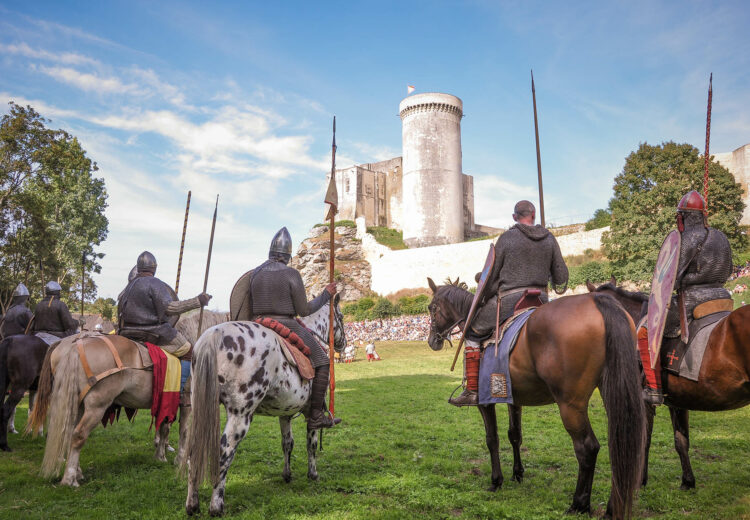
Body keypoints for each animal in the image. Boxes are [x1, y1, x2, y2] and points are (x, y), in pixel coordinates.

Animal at [25, 306, 229, 486]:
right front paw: (181, 460)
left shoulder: (167, 402)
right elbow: (184, 432)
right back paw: (69, 479)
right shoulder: (187, 403)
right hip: (96, 406)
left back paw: (77, 472)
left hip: (76, 403)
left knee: (67, 433)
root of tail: (75, 345)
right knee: (78, 435)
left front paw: (160, 456)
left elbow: (164, 429)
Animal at [184, 294, 348, 516]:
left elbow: (287, 443)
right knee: (224, 454)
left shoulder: (285, 413)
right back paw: (216, 506)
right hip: (240, 415)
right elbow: (311, 444)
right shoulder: (310, 413)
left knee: (193, 452)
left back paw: (192, 504)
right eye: (341, 316)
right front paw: (313, 474)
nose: (343, 344)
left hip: (200, 409)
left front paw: (287, 474)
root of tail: (212, 335)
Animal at [426, 278, 648, 516]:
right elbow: (514, 435)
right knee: (620, 444)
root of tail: (598, 302)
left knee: (587, 447)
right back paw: (612, 508)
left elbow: (492, 439)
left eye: (432, 308)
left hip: (570, 404)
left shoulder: (485, 401)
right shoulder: (514, 399)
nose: (432, 341)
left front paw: (496, 480)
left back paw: (579, 504)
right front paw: (517, 473)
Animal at [592, 278, 750, 490]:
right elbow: (681, 441)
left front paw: (640, 480)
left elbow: (645, 440)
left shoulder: (645, 402)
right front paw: (688, 481)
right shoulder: (679, 401)